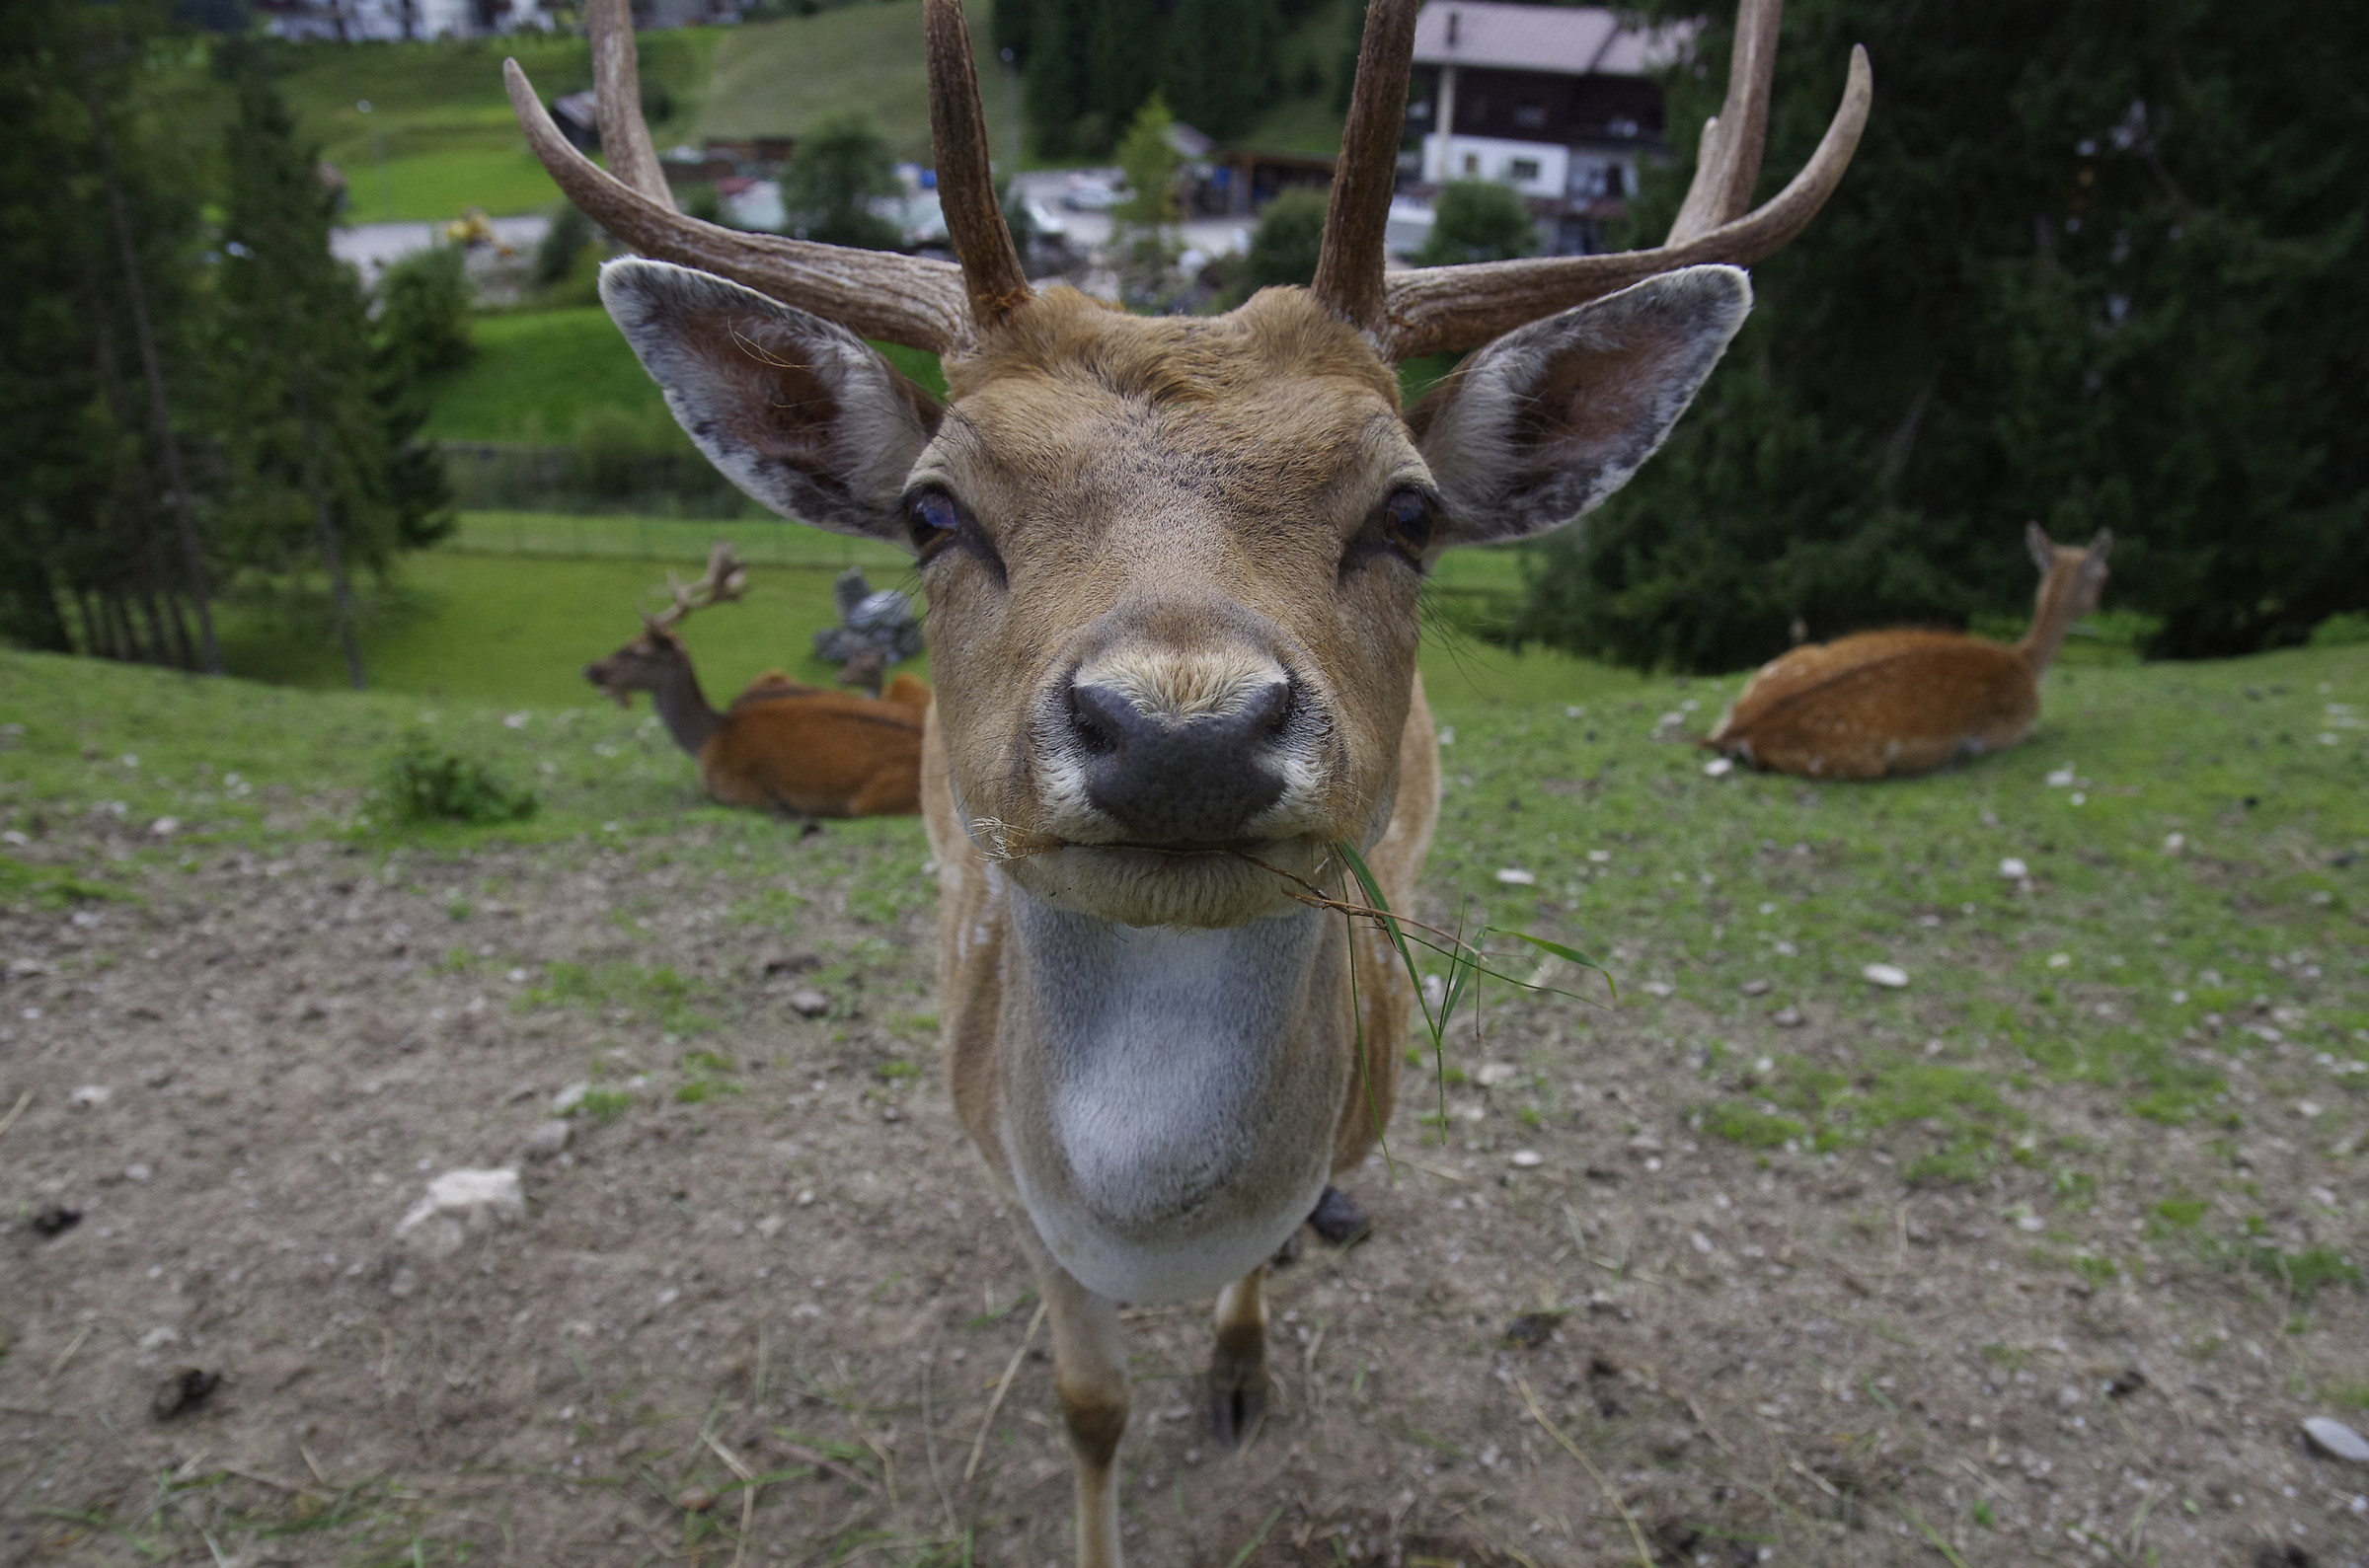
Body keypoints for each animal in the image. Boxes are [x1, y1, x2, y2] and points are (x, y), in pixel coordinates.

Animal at [1704, 525, 2112, 780]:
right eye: (2104, 574)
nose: (2100, 605)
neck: (2025, 661)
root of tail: (1740, 728)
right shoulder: (2008, 730)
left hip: (1787, 659)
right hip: (1856, 761)